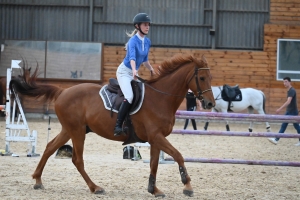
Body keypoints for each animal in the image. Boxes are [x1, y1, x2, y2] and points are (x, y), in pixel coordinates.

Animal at [9, 54, 216, 198]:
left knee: (50, 147)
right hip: (77, 132)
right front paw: (187, 185)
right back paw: (95, 187)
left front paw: (154, 189)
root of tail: (62, 91)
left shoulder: (155, 139)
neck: (161, 97)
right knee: (77, 159)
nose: (210, 104)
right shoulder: (156, 136)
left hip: (69, 130)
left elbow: (154, 164)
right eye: (202, 78)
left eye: (211, 77)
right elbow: (178, 155)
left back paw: (38, 180)